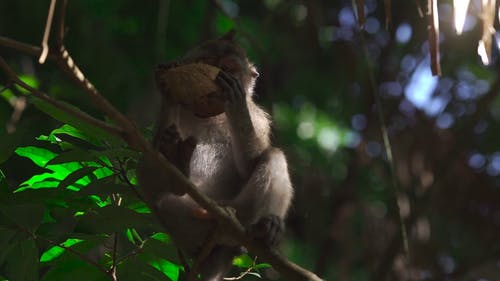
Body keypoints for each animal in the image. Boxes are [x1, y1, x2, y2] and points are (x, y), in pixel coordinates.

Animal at [137, 29, 292, 278]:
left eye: (229, 68)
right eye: (207, 62)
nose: (218, 75)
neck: (210, 115)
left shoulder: (258, 119)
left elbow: (251, 163)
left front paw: (236, 105)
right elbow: (148, 154)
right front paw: (167, 90)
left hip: (240, 211)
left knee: (274, 156)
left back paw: (265, 227)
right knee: (157, 188)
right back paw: (177, 164)